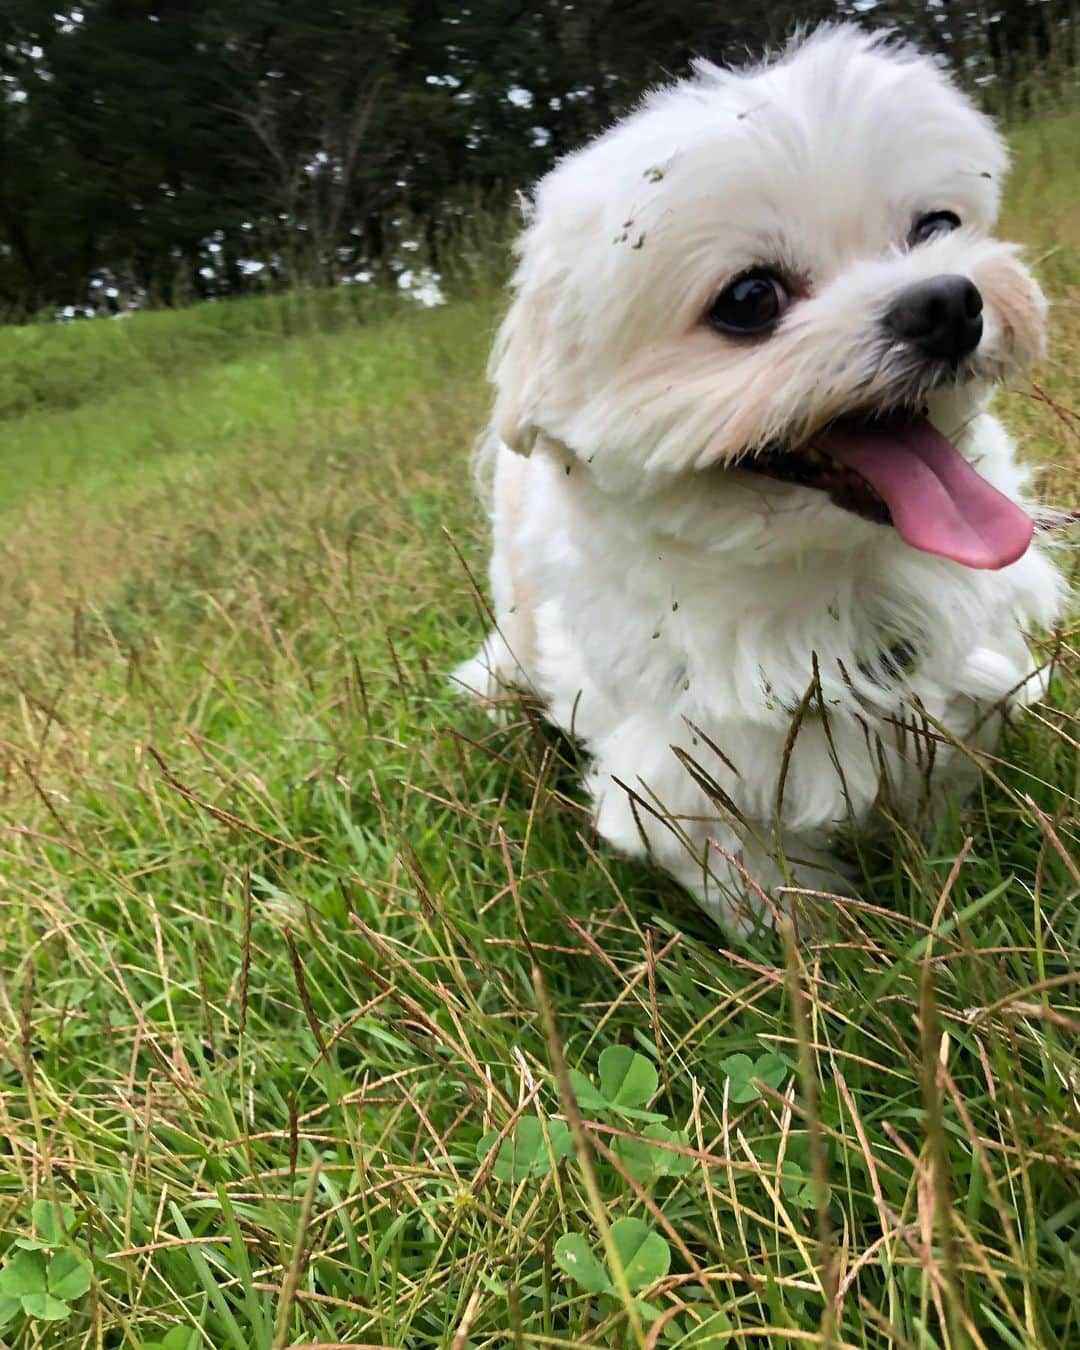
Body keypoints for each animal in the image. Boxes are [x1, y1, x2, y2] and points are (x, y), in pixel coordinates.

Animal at [453, 26, 1063, 934]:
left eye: (935, 226)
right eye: (748, 298)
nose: (947, 303)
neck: (833, 580)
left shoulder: (957, 694)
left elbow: (939, 799)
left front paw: (945, 877)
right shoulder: (686, 783)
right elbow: (774, 890)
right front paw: (832, 952)